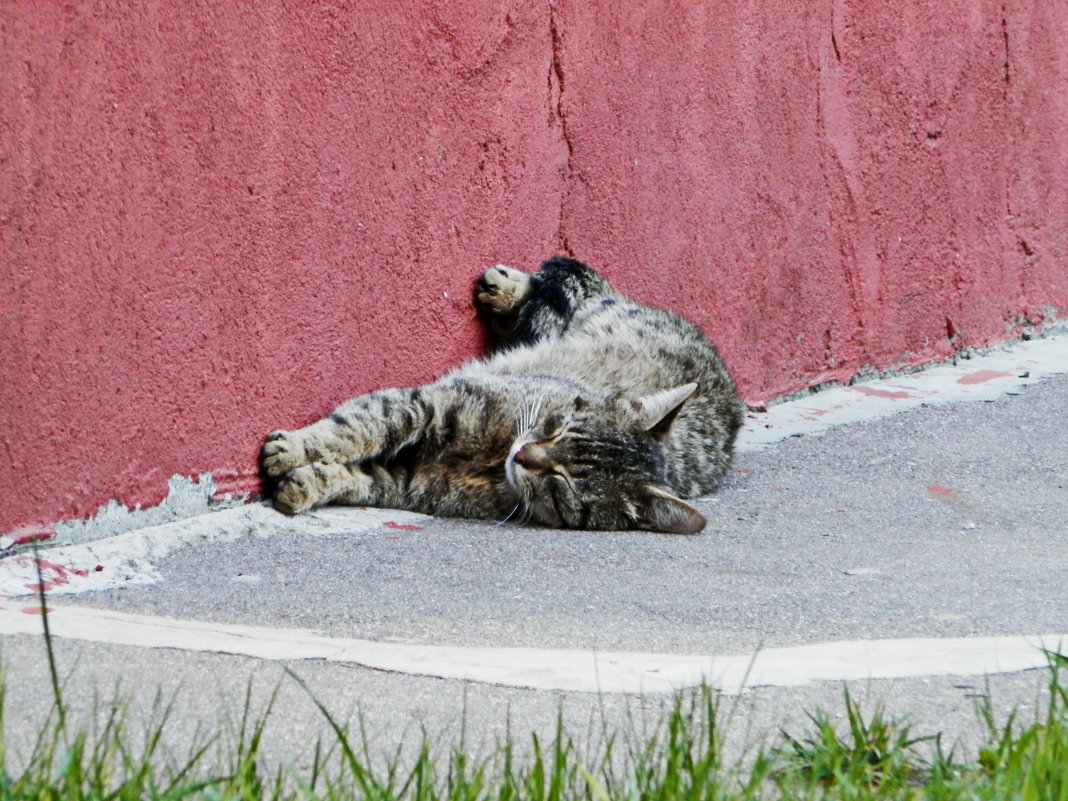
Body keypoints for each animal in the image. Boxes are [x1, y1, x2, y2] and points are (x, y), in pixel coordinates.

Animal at [259, 257, 743, 534]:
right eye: (558, 427)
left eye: (563, 481)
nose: (523, 456)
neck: (494, 457)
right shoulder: (428, 404)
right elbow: (355, 429)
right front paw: (296, 448)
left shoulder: (414, 484)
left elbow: (360, 478)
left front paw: (309, 483)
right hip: (601, 310)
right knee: (586, 286)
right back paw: (510, 288)